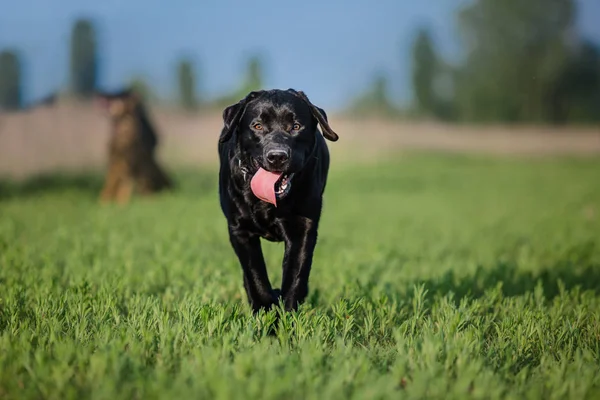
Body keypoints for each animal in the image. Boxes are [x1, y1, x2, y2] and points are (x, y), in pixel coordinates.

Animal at [218, 89, 340, 314]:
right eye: (257, 126)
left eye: (296, 126)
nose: (277, 156)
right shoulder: (240, 230)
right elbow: (255, 274)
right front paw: (266, 311)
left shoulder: (302, 228)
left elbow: (295, 275)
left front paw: (287, 315)